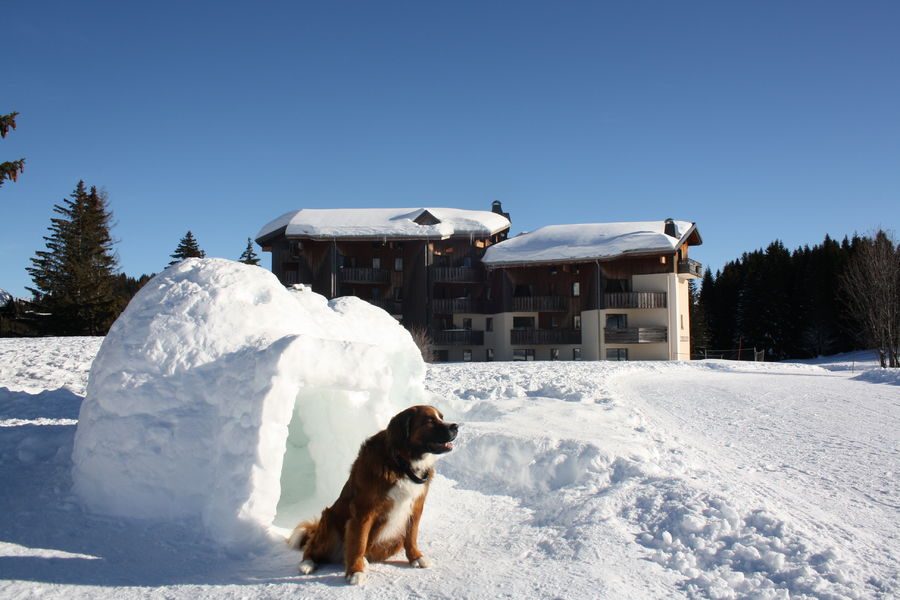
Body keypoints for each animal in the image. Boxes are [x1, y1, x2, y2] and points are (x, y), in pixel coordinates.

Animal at [286, 406, 458, 584]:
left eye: (441, 417)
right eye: (430, 421)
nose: (455, 426)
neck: (402, 463)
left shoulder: (415, 507)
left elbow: (411, 536)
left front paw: (416, 557)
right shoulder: (363, 512)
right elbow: (359, 542)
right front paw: (355, 571)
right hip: (330, 521)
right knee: (312, 548)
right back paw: (308, 564)